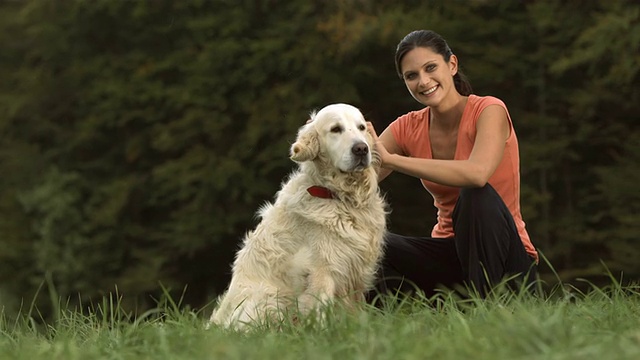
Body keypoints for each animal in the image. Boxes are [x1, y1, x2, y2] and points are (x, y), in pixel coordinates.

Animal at [210, 102, 388, 330]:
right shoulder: (322, 271)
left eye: (361, 128)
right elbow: (321, 309)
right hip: (270, 297)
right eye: (336, 129)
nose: (361, 149)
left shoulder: (355, 273)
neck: (339, 196)